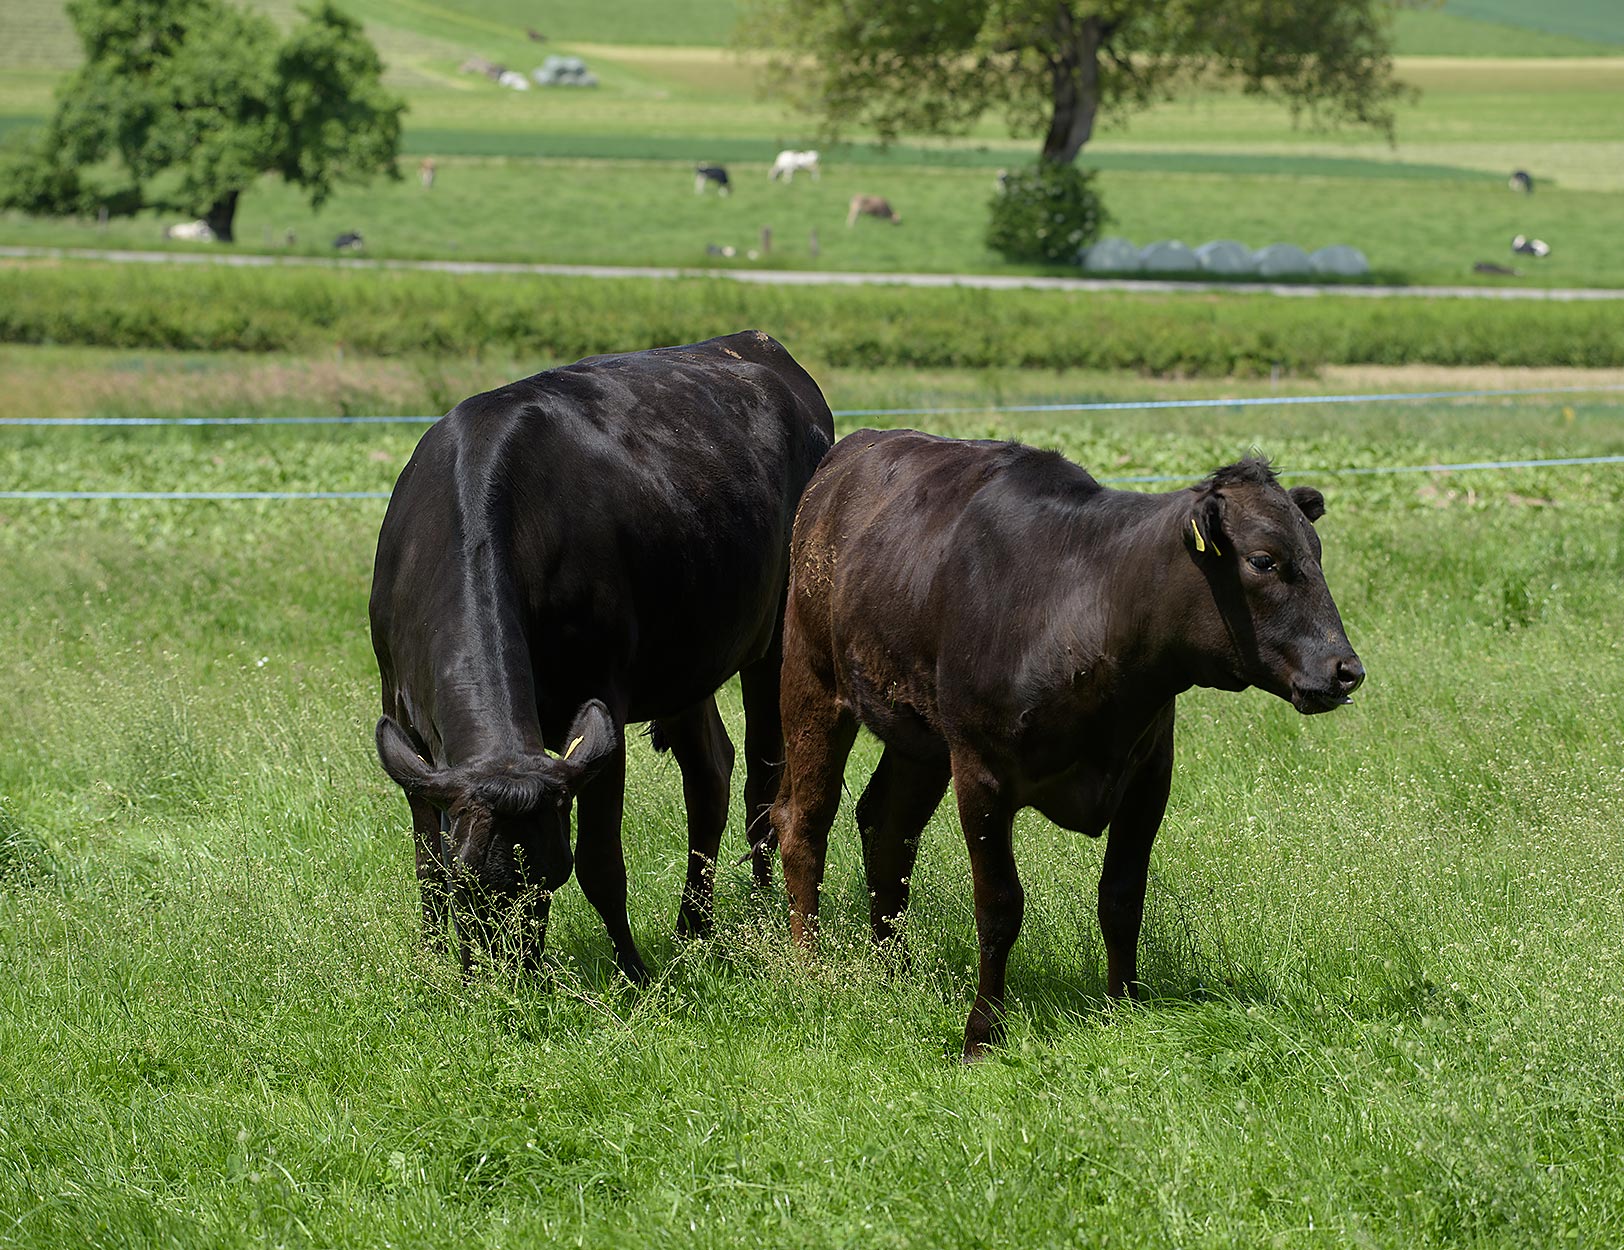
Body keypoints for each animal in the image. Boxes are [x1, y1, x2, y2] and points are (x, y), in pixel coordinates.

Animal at [370, 327, 837, 974]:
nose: (509, 976)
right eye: (472, 883)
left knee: (762, 782)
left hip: (774, 643)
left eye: (550, 877)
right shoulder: (402, 710)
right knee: (710, 770)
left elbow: (600, 863)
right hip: (684, 658)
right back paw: (693, 928)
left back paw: (760, 910)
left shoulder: (601, 700)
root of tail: (753, 341)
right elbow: (426, 862)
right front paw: (442, 969)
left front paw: (634, 974)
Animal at [766, 435, 1364, 1058]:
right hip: (811, 679)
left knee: (886, 828)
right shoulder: (980, 773)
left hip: (920, 737)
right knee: (804, 822)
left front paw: (1125, 1008)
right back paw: (809, 969)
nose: (1346, 670)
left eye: (1317, 553)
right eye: (1264, 560)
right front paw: (981, 1033)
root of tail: (851, 451)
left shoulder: (1149, 775)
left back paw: (894, 971)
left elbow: (1122, 898)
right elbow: (999, 907)